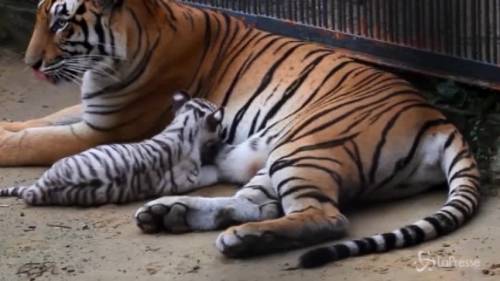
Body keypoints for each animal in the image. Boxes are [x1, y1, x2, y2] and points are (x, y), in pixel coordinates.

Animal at [0, 0, 480, 266]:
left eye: (61, 24)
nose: (31, 63)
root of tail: (436, 117)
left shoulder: (102, 128)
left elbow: (31, 141)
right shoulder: (89, 110)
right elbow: (34, 123)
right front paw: (10, 123)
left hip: (307, 146)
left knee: (326, 217)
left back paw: (239, 239)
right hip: (279, 155)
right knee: (257, 205)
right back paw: (172, 214)